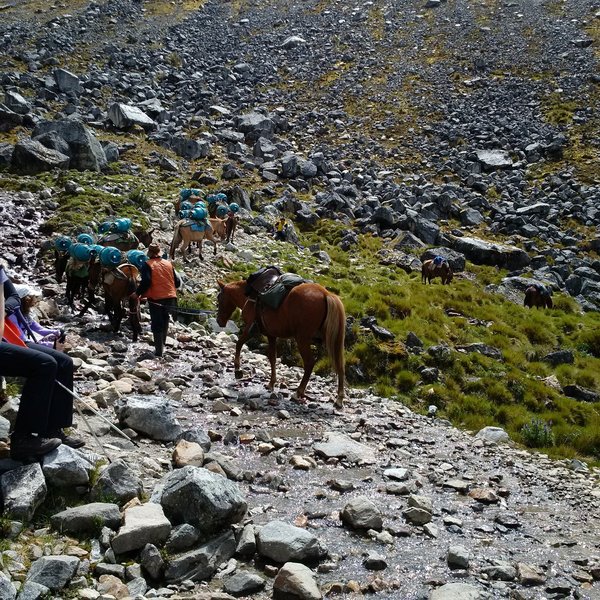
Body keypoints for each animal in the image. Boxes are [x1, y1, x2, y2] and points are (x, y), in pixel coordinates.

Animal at [216, 280, 346, 408]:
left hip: (302, 339)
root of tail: (326, 294)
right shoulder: (271, 335)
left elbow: (239, 344)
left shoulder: (250, 328)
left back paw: (298, 392)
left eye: (219, 298)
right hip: (332, 340)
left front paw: (237, 370)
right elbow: (272, 358)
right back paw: (339, 399)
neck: (248, 297)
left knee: (309, 363)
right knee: (339, 365)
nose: (219, 321)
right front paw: (271, 383)